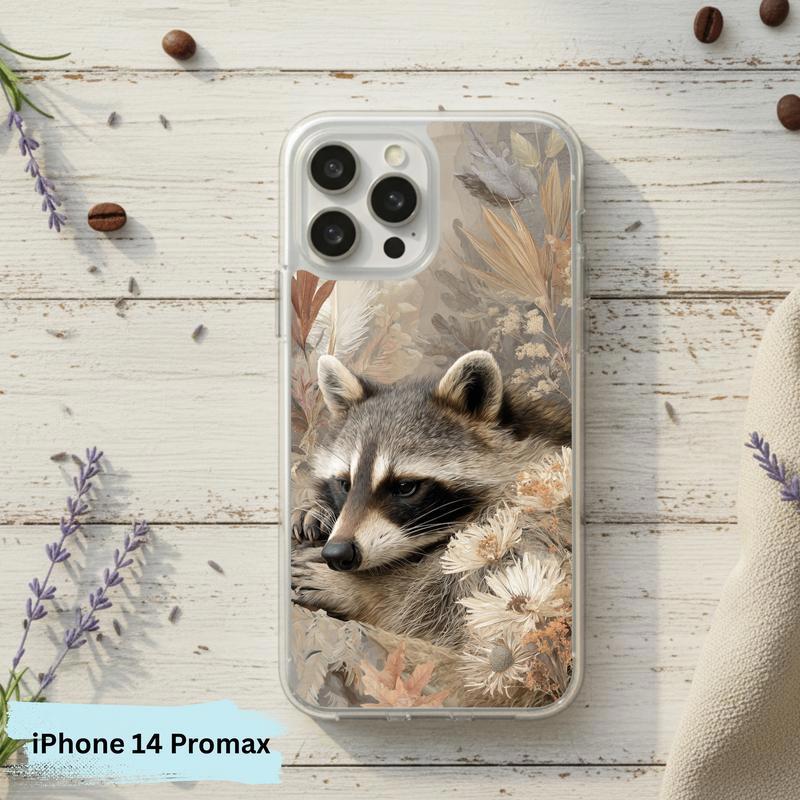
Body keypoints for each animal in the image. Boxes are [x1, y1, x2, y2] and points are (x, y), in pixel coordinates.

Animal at [291, 349, 571, 647]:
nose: (338, 553)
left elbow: (468, 613)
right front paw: (316, 509)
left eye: (405, 487)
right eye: (345, 484)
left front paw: (359, 589)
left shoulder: (538, 515)